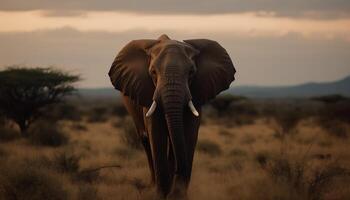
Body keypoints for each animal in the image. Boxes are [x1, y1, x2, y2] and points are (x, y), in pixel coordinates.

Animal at [108, 34, 237, 198]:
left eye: (191, 72)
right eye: (153, 72)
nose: (177, 172)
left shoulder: (197, 91)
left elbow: (189, 132)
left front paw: (178, 195)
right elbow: (156, 133)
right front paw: (161, 195)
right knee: (146, 141)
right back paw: (152, 185)